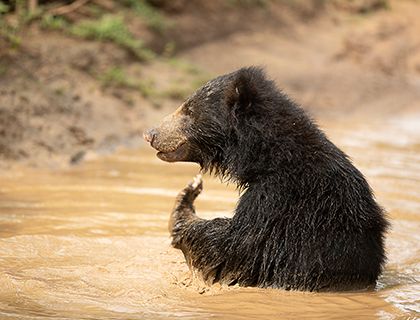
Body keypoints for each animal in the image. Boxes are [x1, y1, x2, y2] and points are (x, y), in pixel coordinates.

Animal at [144, 66, 388, 292]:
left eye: (189, 110)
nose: (150, 134)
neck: (265, 157)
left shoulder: (278, 200)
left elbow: (237, 246)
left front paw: (183, 205)